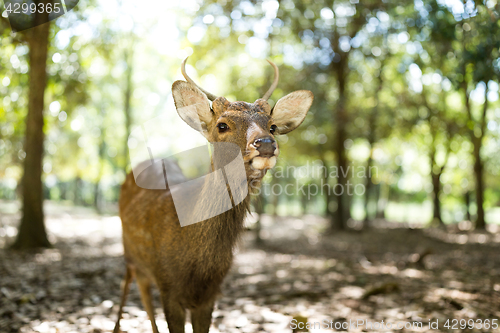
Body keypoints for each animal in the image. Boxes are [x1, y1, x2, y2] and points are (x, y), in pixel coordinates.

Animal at [115, 58, 314, 330]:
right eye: (222, 125)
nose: (265, 144)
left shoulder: (211, 295)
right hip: (130, 253)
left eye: (272, 126)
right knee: (135, 288)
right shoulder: (168, 287)